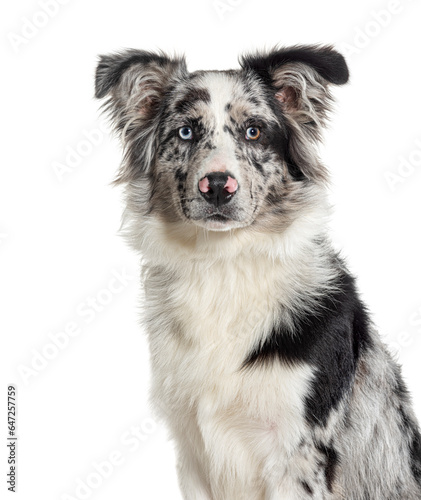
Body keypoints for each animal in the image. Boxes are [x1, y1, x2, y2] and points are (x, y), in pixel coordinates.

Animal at [95, 45, 420, 498]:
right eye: (185, 133)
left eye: (253, 131)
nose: (217, 185)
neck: (223, 265)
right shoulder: (193, 450)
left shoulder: (298, 456)